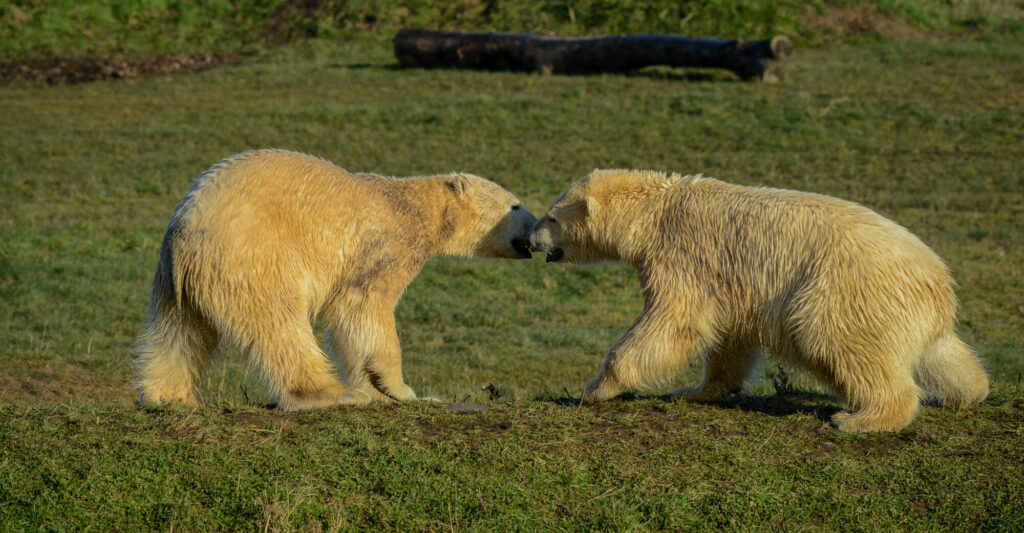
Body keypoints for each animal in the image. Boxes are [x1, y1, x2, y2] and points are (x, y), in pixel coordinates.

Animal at [134, 149, 537, 411]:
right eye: (515, 204)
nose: (535, 229)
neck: (417, 207)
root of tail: (185, 235)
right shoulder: (384, 246)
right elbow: (365, 311)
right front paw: (398, 389)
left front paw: (376, 390)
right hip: (252, 260)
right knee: (281, 327)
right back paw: (332, 393)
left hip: (176, 279)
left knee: (179, 332)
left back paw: (170, 396)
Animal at [528, 169, 989, 432]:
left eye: (551, 215)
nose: (531, 239)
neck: (655, 212)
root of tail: (939, 284)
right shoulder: (727, 279)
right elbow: (727, 337)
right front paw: (694, 391)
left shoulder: (682, 255)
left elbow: (672, 321)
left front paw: (596, 387)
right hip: (908, 313)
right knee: (943, 355)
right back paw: (964, 392)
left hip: (844, 290)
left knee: (836, 340)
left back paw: (861, 418)